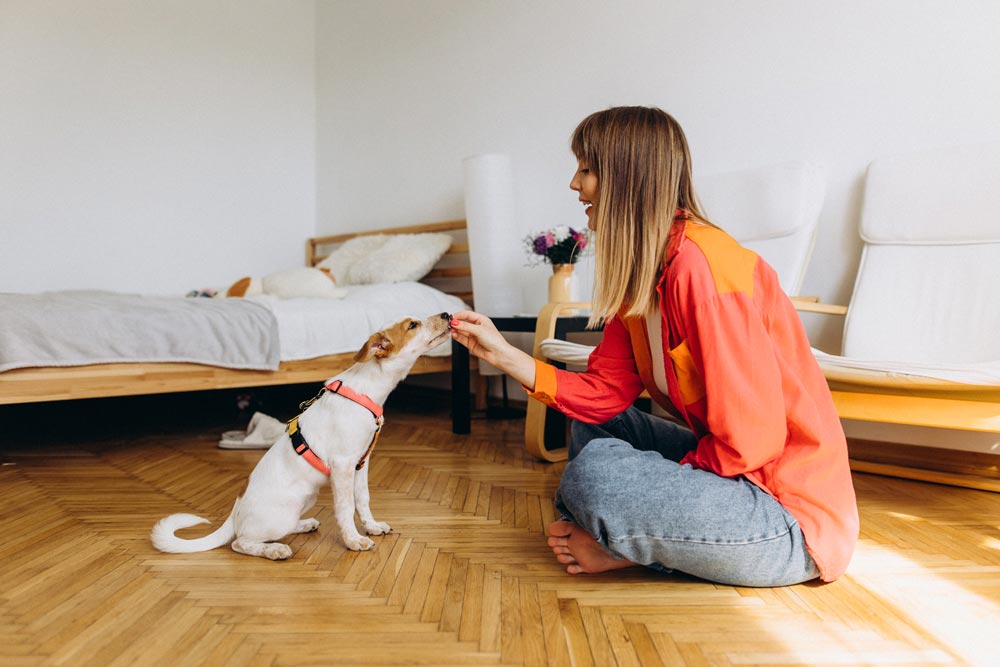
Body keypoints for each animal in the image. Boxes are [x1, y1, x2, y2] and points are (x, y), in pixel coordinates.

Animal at [149, 312, 454, 560]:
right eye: (412, 325)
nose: (447, 314)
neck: (367, 390)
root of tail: (235, 511)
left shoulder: (361, 463)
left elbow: (363, 500)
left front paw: (372, 527)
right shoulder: (343, 465)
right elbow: (346, 508)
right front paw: (354, 540)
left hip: (305, 499)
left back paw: (305, 524)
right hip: (279, 514)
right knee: (241, 542)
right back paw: (274, 549)